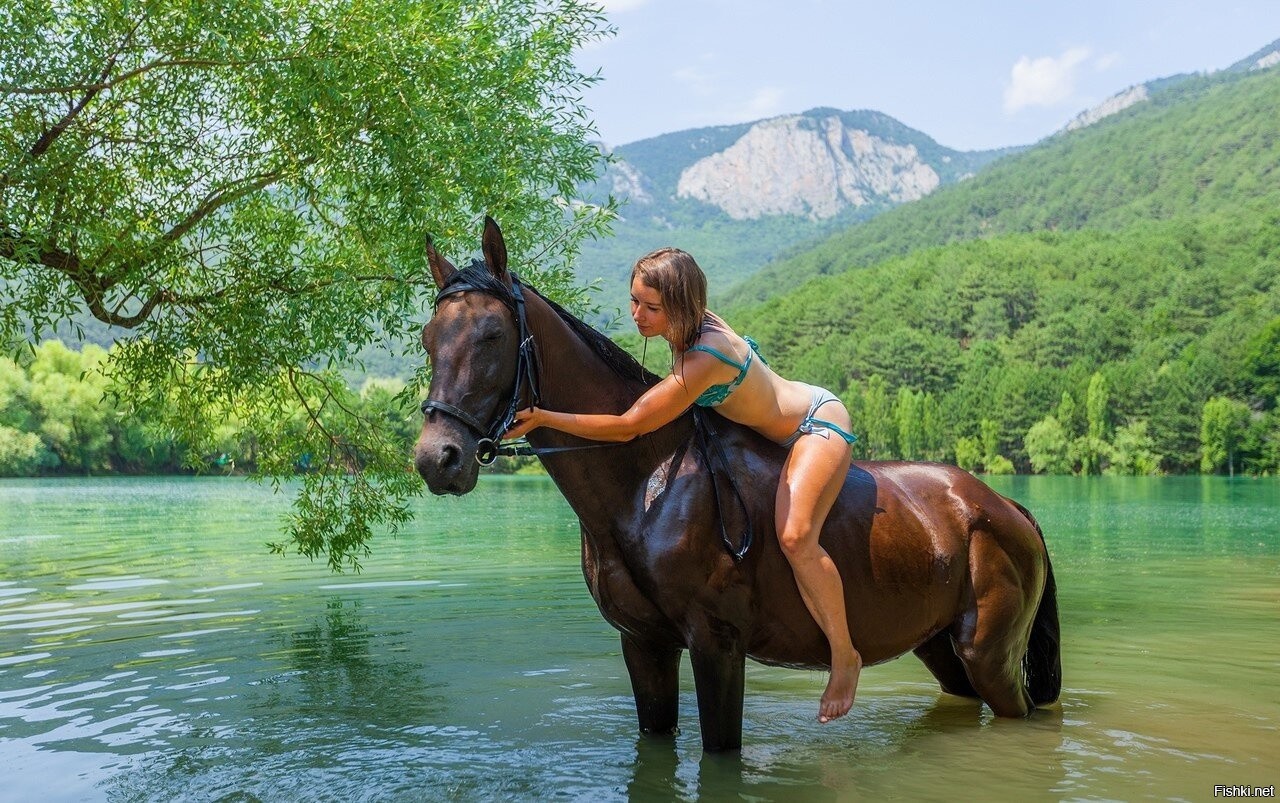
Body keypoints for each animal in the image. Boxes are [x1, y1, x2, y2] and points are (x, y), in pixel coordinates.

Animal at [413, 217, 1060, 752]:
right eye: (427, 338)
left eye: (492, 335)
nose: (437, 458)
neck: (647, 486)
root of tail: (1002, 506)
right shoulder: (643, 644)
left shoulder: (717, 646)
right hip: (940, 647)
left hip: (990, 655)